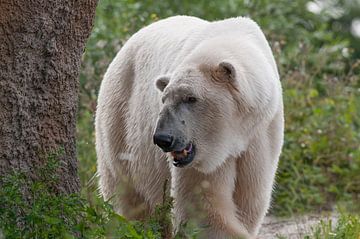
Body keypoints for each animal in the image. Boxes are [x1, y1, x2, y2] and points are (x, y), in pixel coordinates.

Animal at [95, 15, 284, 238]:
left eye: (191, 98)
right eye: (164, 99)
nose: (163, 139)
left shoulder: (261, 134)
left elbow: (250, 199)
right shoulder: (204, 157)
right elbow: (202, 206)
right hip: (119, 123)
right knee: (127, 199)